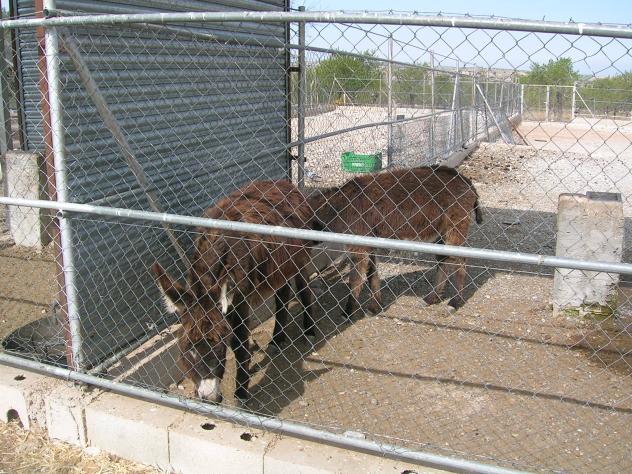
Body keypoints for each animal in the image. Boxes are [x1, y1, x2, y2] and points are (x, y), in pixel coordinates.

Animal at [153, 179, 316, 403]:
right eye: (186, 351)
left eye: (220, 348)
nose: (210, 398)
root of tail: (284, 183)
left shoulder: (240, 301)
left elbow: (239, 346)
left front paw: (241, 391)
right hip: (277, 267)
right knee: (282, 296)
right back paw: (277, 338)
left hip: (298, 259)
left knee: (304, 289)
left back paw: (309, 331)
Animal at [308, 165, 482, 317]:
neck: (338, 207)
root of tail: (466, 181)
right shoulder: (370, 244)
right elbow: (372, 275)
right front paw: (375, 307)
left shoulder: (359, 246)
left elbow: (355, 278)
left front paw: (348, 312)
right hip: (440, 233)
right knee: (444, 260)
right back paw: (431, 299)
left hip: (455, 227)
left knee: (460, 261)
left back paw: (454, 303)